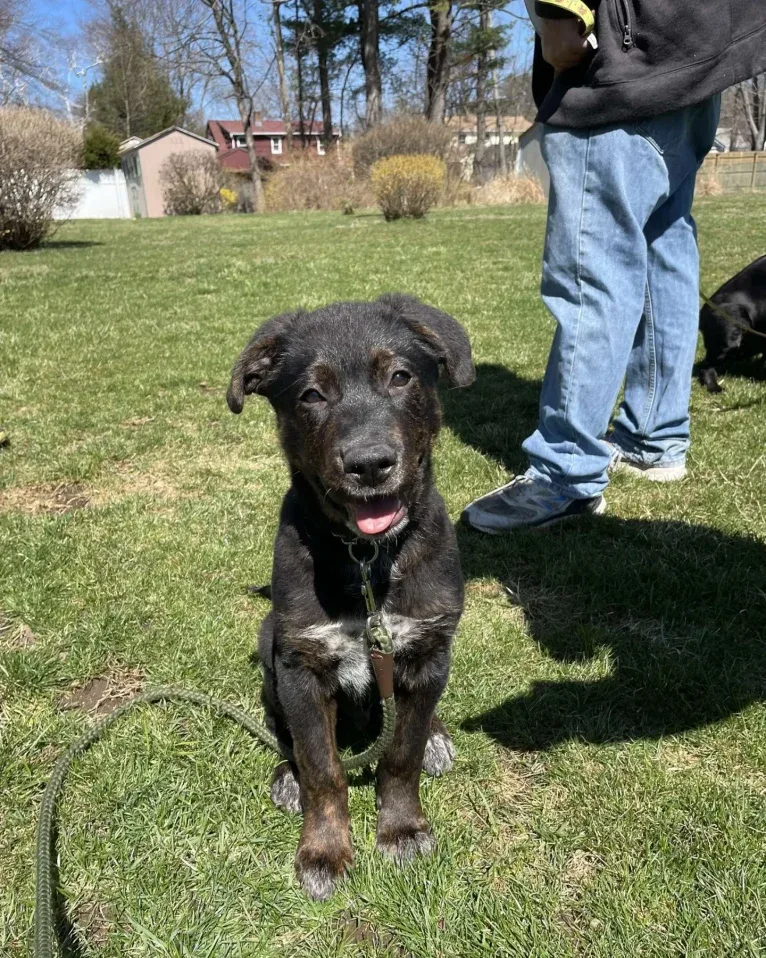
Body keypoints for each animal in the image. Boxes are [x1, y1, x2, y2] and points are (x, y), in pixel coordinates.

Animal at [225, 296, 474, 904]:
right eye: (312, 395)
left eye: (401, 377)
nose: (369, 464)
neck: (367, 556)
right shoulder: (301, 667)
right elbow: (323, 769)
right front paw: (323, 850)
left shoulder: (427, 648)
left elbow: (402, 753)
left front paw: (402, 828)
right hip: (270, 643)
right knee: (286, 732)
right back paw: (286, 773)